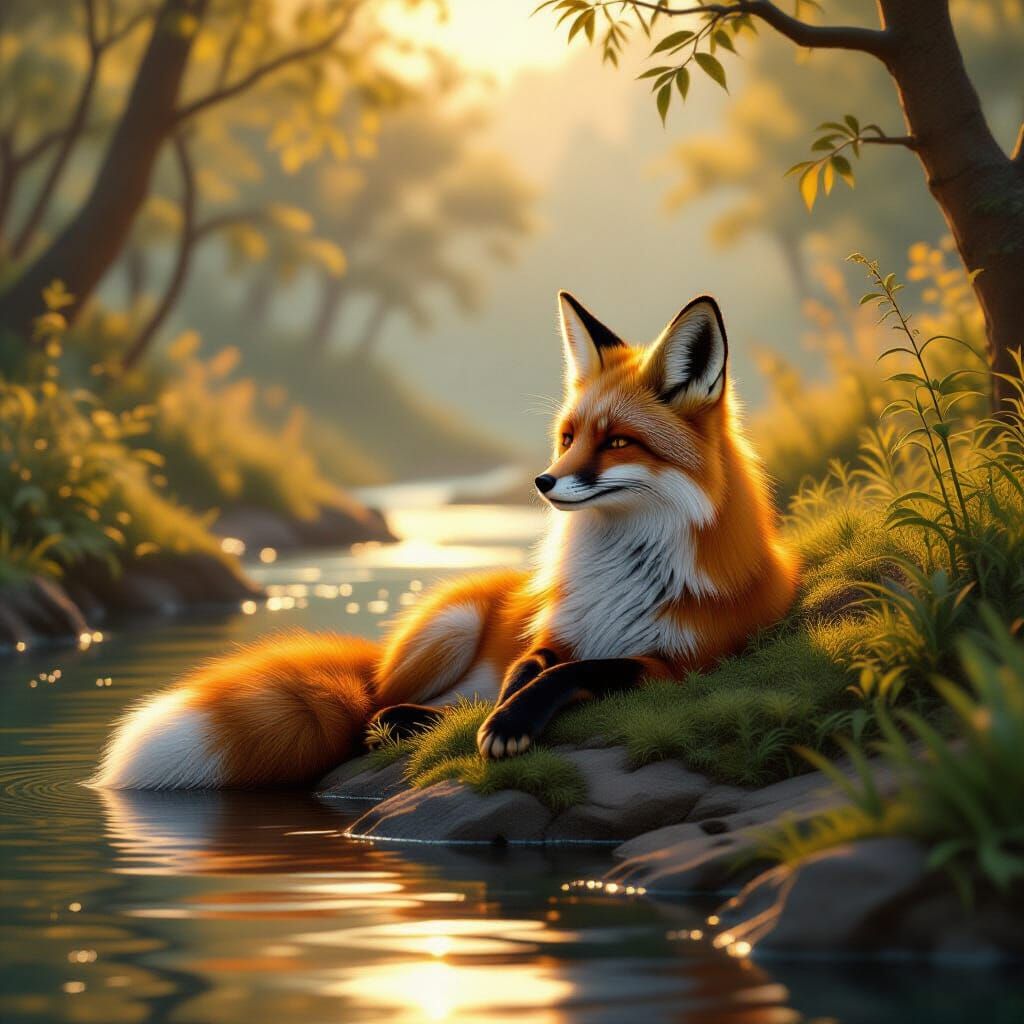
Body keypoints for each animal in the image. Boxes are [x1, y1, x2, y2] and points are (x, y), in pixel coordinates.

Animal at [94, 291, 799, 789]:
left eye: (619, 441)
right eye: (569, 437)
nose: (543, 481)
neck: (621, 580)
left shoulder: (679, 667)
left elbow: (578, 669)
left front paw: (511, 722)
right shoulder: (553, 631)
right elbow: (532, 665)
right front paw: (505, 712)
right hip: (448, 631)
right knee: (371, 712)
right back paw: (408, 719)